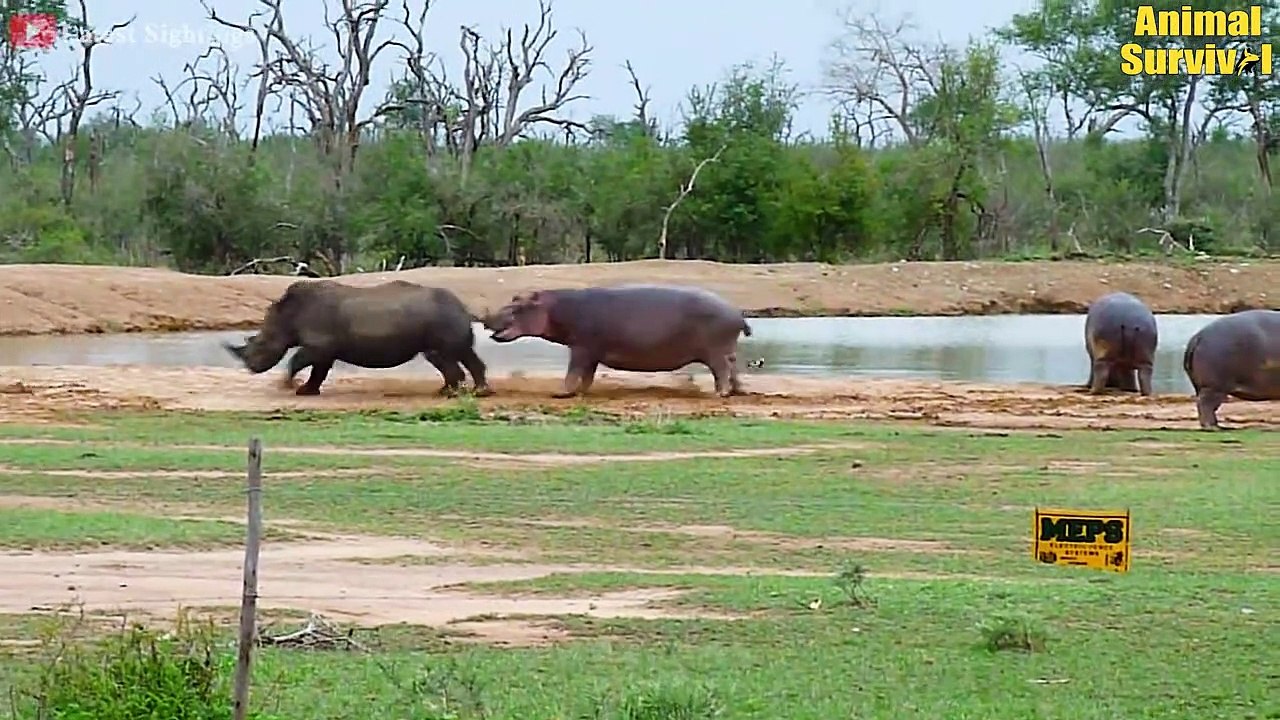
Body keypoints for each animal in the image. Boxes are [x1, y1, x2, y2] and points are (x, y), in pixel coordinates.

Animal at [223, 279, 492, 397]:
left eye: (261, 344)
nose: (252, 368)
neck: (286, 315)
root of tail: (464, 307)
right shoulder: (325, 348)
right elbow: (318, 370)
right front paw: (307, 391)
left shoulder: (319, 344)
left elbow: (297, 361)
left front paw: (287, 386)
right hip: (444, 317)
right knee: (456, 354)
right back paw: (468, 391)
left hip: (442, 318)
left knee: (444, 355)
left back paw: (452, 393)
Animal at [485, 284, 753, 398]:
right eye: (513, 298)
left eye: (518, 306)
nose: (486, 319)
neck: (554, 308)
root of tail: (738, 314)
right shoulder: (591, 351)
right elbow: (587, 375)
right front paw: (582, 392)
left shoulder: (580, 347)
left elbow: (573, 371)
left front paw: (561, 393)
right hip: (728, 349)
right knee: (733, 367)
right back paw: (738, 391)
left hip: (714, 351)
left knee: (722, 370)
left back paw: (721, 394)